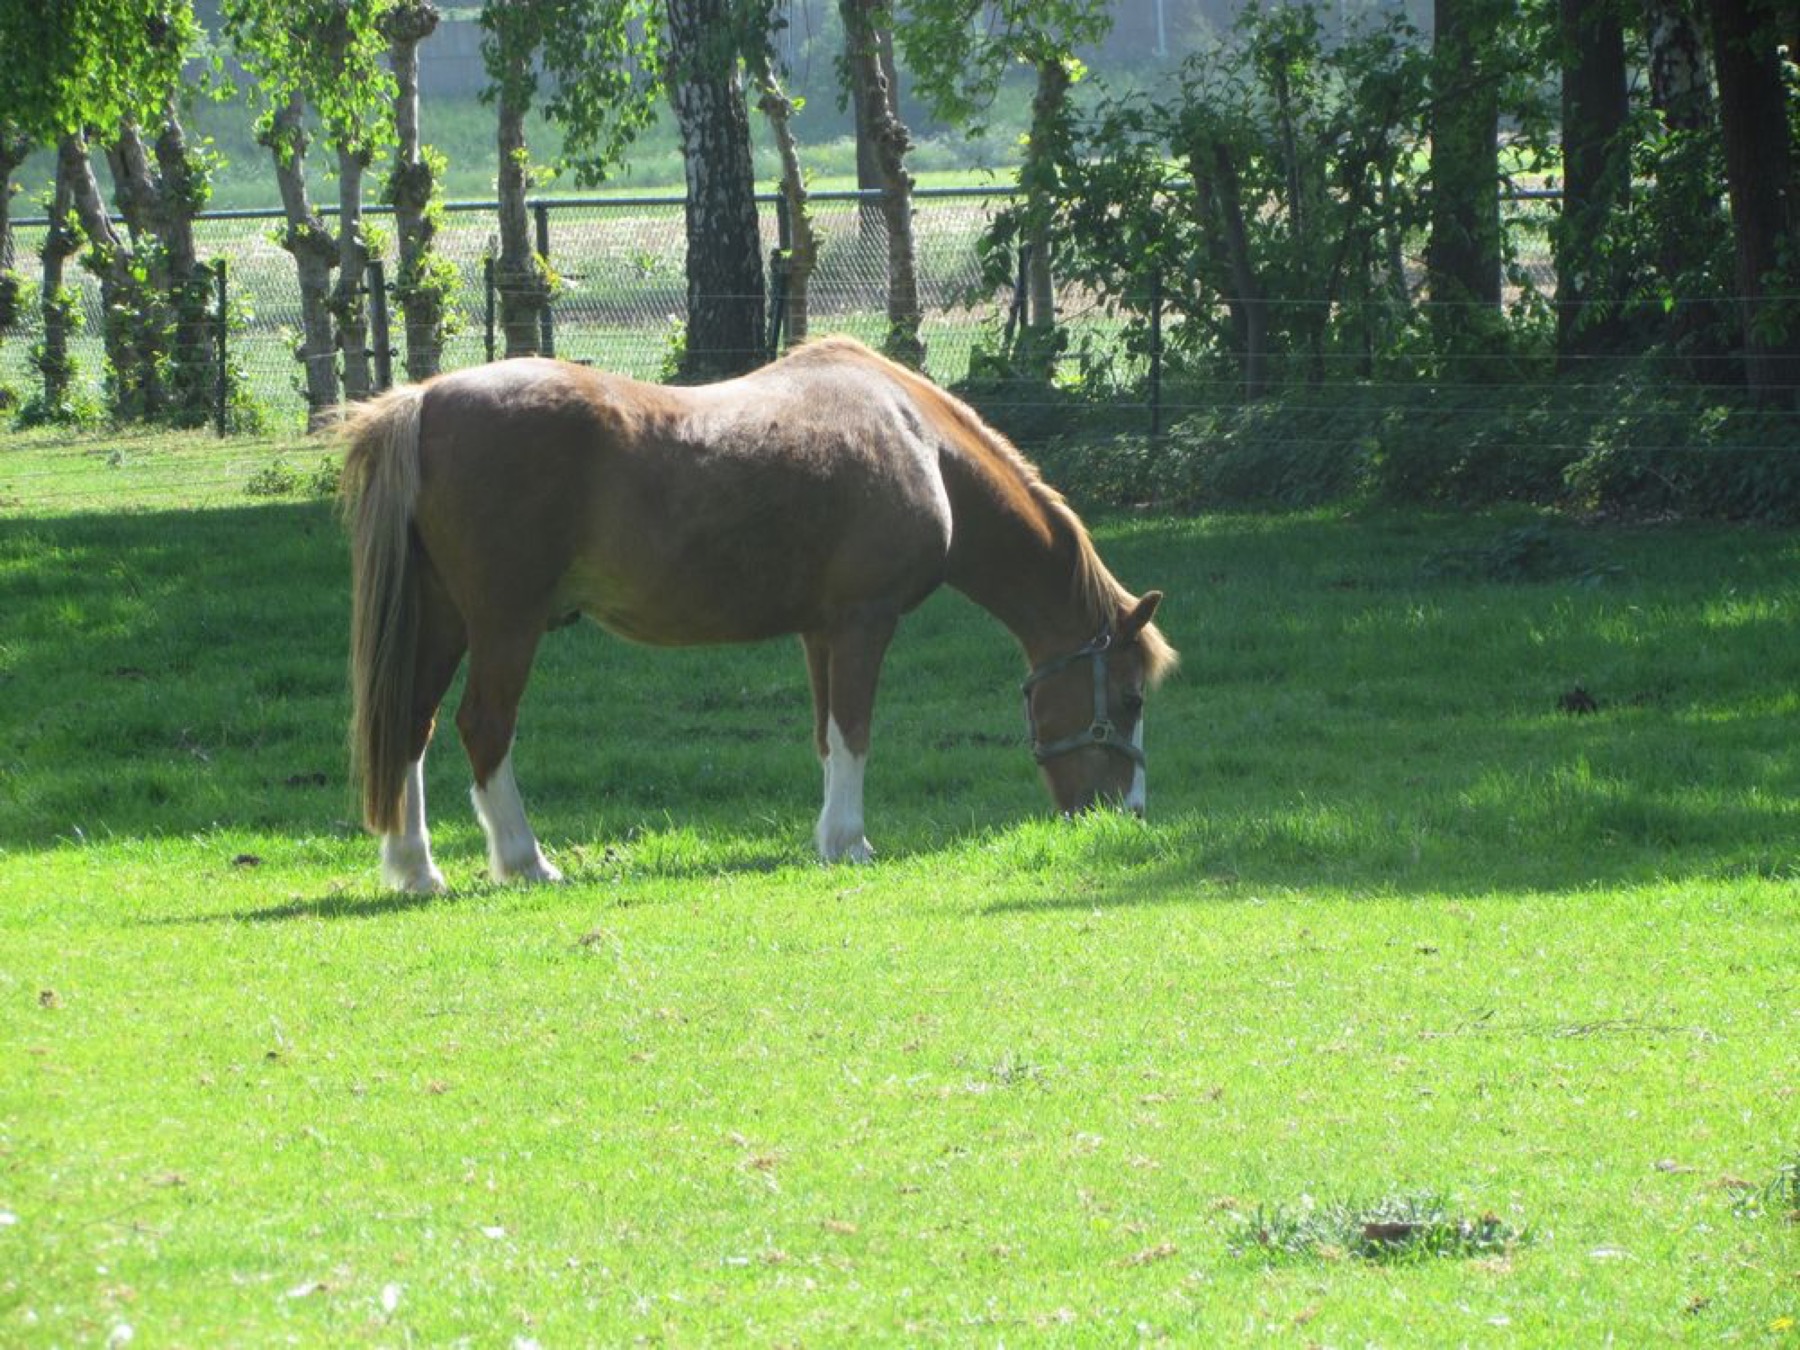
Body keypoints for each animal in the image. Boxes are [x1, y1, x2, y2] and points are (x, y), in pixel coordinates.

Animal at [338, 336, 1177, 893]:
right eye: (1130, 700)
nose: (1127, 815)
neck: (919, 442)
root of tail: (424, 401)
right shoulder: (865, 622)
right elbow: (855, 732)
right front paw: (850, 843)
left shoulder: (821, 631)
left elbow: (827, 736)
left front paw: (829, 837)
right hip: (505, 625)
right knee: (483, 726)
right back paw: (525, 861)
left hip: (444, 619)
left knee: (413, 724)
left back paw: (417, 871)